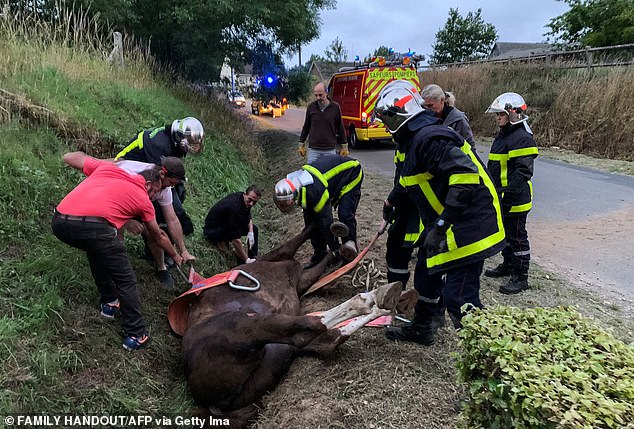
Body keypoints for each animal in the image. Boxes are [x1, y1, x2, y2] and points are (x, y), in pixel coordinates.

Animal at [169, 226, 414, 426]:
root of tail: (209, 404)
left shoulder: (300, 278)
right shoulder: (293, 270)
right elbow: (301, 244)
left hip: (277, 356)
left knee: (324, 340)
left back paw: (387, 304)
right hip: (244, 325)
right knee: (309, 326)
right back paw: (373, 297)